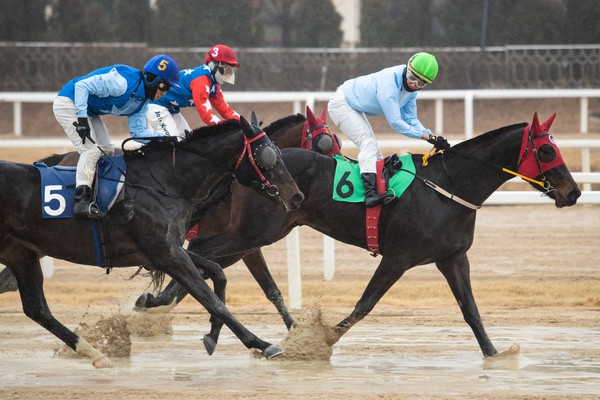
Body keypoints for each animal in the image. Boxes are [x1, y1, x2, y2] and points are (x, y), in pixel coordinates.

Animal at [0, 114, 302, 368]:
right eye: (269, 156)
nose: (297, 196)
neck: (166, 183)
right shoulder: (166, 254)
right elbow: (211, 298)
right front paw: (263, 344)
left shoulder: (166, 249)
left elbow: (217, 274)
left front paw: (212, 334)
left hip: (21, 254)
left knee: (37, 309)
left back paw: (95, 353)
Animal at [127, 112, 580, 356]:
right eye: (545, 150)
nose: (573, 192)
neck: (450, 186)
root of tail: (246, 169)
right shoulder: (399, 257)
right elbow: (365, 304)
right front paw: (321, 338)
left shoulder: (452, 257)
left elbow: (471, 310)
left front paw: (494, 353)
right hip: (256, 231)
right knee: (200, 250)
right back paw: (159, 301)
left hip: (259, 233)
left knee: (201, 258)